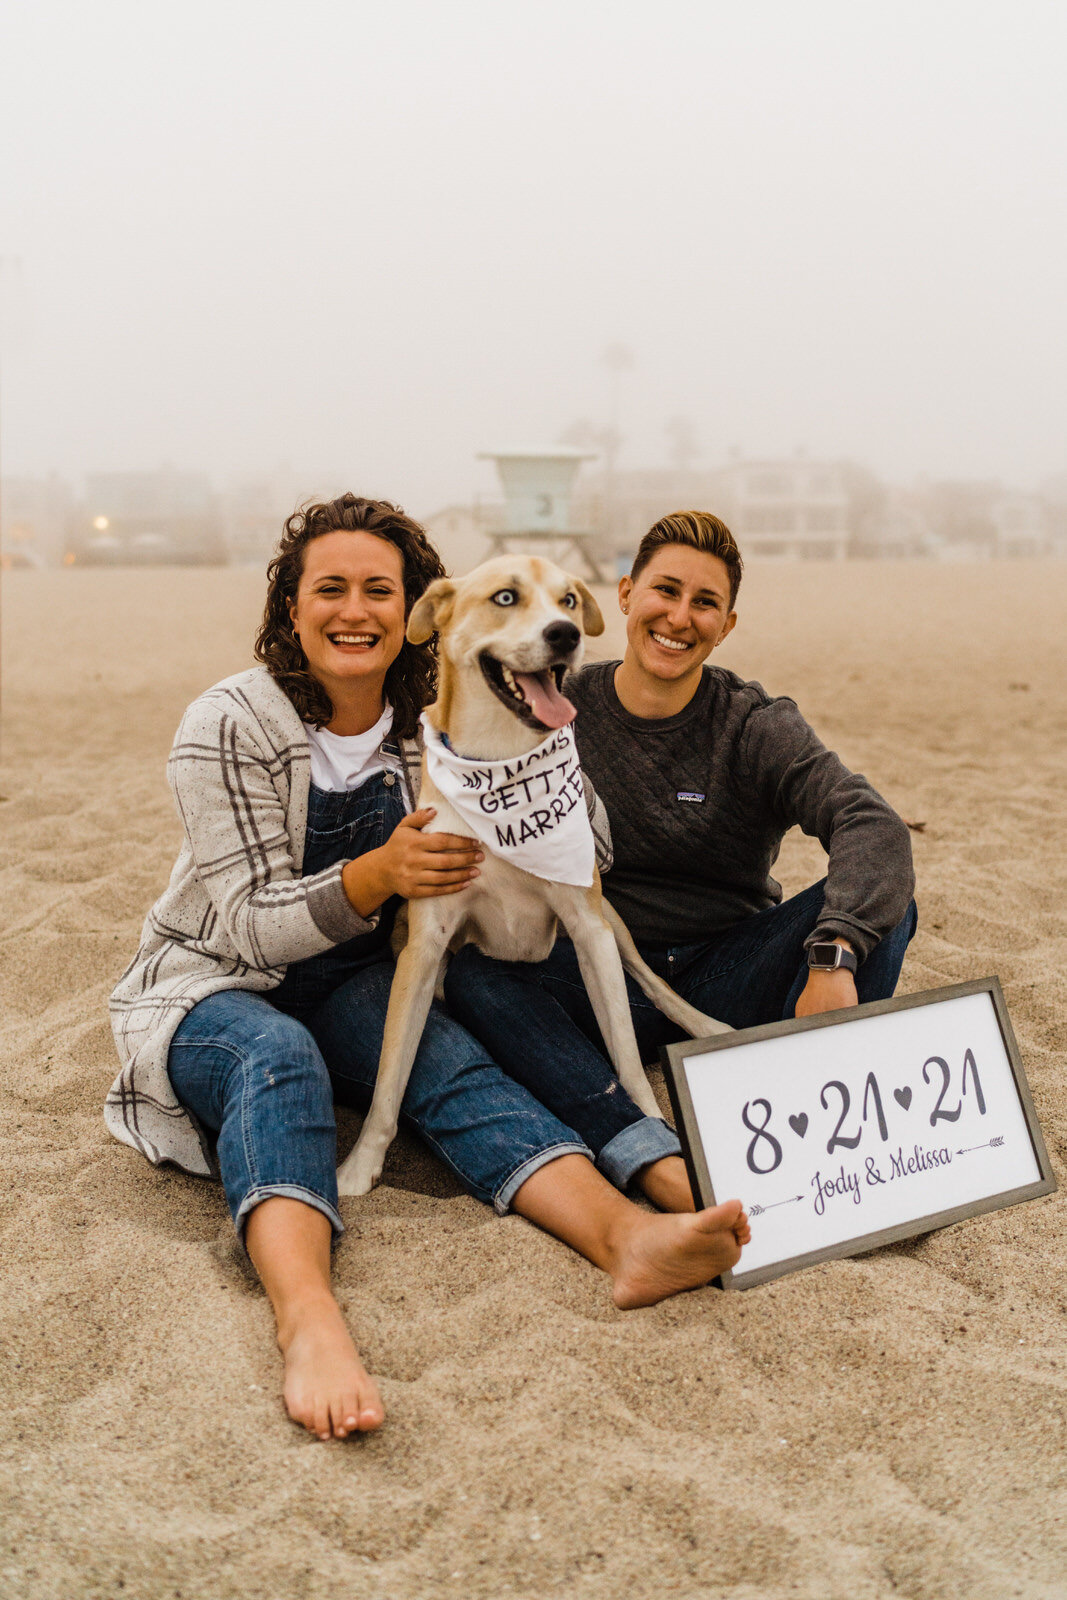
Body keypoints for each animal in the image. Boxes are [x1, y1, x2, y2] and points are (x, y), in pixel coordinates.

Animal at [337, 556, 729, 1196]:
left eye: (569, 600)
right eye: (505, 597)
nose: (565, 635)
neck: (502, 761)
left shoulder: (590, 930)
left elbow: (625, 1054)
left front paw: (655, 1123)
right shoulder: (424, 943)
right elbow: (390, 1075)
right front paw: (358, 1166)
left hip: (610, 922)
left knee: (651, 982)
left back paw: (704, 1023)